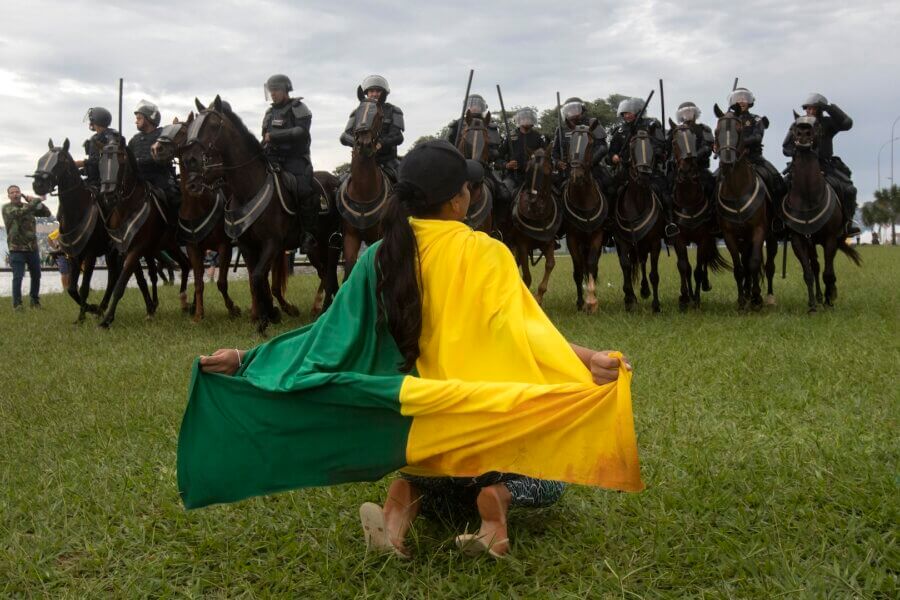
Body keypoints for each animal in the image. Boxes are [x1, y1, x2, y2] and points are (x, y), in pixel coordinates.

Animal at [712, 104, 776, 310]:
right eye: (716, 131)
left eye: (739, 131)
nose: (727, 161)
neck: (737, 190)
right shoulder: (730, 235)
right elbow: (740, 268)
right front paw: (742, 300)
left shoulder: (759, 229)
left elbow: (754, 263)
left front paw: (756, 297)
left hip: (771, 236)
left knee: (769, 265)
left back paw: (768, 297)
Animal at [780, 112, 856, 312]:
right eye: (794, 126)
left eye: (817, 126)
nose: (803, 133)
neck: (808, 197)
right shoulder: (798, 240)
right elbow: (808, 272)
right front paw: (813, 305)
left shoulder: (830, 239)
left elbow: (828, 273)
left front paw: (830, 301)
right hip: (811, 242)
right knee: (815, 266)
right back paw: (819, 298)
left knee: (825, 268)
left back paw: (829, 296)